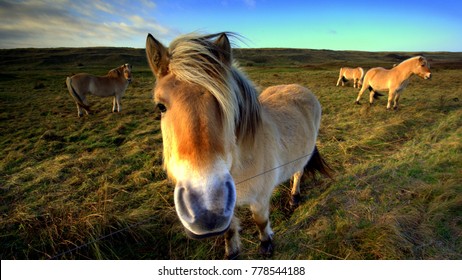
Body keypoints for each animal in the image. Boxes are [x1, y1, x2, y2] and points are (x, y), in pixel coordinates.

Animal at [146, 33, 330, 260]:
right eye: (160, 106)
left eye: (227, 105)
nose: (206, 211)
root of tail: (300, 87)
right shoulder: (227, 206)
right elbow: (230, 231)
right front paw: (232, 253)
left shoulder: (260, 198)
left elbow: (261, 221)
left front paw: (266, 244)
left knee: (298, 172)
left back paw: (294, 198)